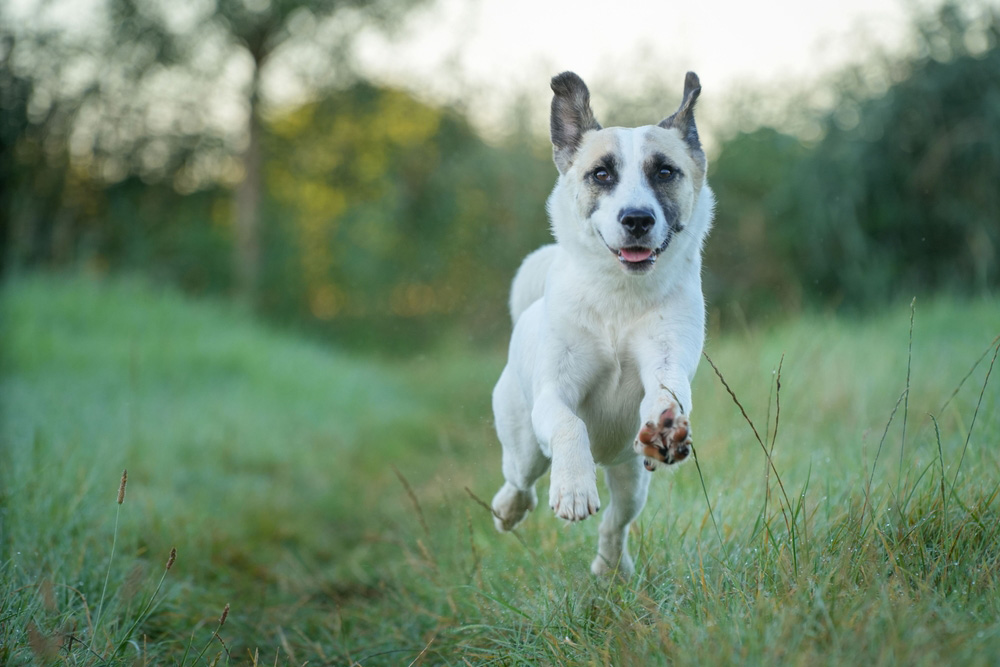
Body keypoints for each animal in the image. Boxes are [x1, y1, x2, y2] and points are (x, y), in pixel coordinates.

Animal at [490, 70, 712, 576]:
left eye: (664, 172)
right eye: (602, 174)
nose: (637, 219)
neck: (618, 299)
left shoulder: (667, 359)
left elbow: (667, 393)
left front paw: (667, 424)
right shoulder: (554, 393)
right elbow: (569, 423)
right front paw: (574, 487)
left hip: (632, 476)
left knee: (616, 520)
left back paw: (611, 568)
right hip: (524, 443)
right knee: (521, 482)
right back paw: (508, 510)